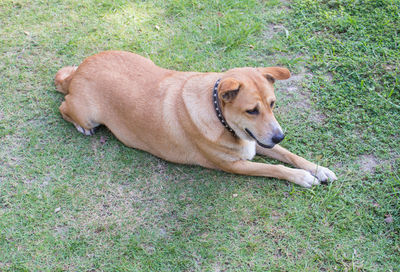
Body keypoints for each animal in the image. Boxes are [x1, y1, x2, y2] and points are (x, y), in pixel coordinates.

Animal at [54, 50, 336, 187]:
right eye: (251, 110)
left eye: (272, 104)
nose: (280, 136)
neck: (218, 116)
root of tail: (79, 70)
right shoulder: (234, 164)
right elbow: (274, 168)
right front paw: (302, 177)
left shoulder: (256, 142)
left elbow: (289, 155)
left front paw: (318, 168)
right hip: (87, 114)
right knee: (63, 106)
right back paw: (80, 126)